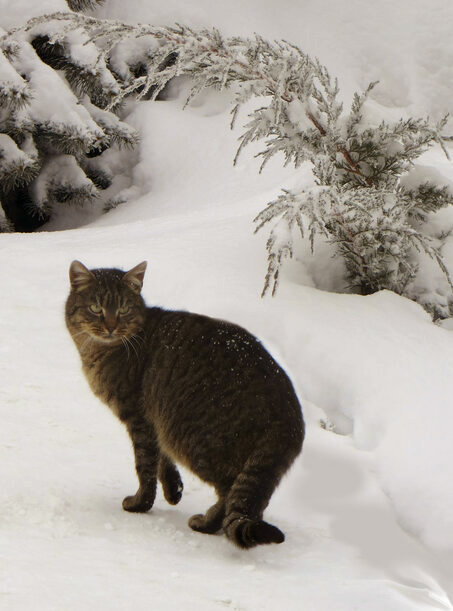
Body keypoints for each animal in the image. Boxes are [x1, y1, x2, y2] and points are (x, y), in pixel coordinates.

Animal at [64, 260, 304, 548]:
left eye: (123, 309)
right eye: (95, 308)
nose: (111, 326)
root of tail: (289, 417)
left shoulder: (140, 419)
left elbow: (145, 467)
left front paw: (140, 504)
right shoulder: (155, 423)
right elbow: (161, 461)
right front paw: (173, 489)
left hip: (192, 439)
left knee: (229, 492)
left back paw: (206, 522)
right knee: (249, 503)